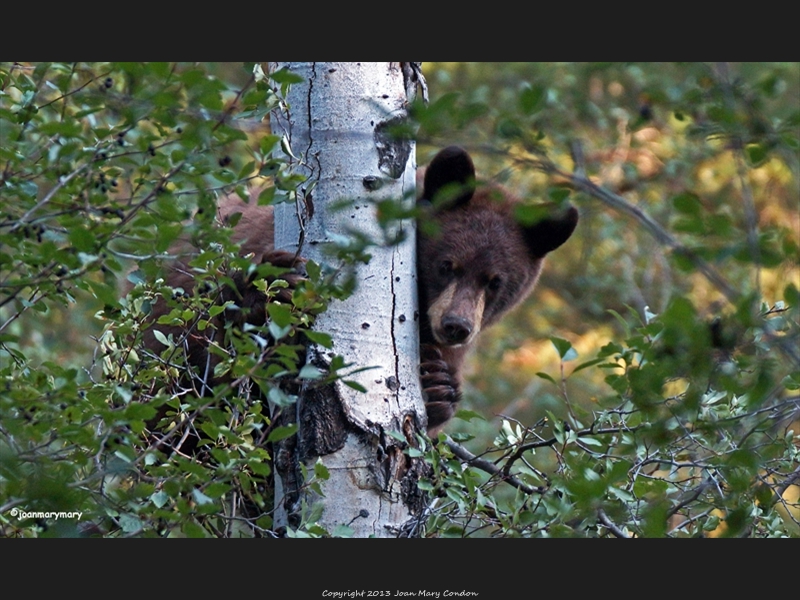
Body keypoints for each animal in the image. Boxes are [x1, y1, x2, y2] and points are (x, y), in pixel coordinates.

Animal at [138, 145, 576, 440]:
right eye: (446, 264)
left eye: (496, 281)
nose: (456, 325)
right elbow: (213, 337)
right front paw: (272, 292)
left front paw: (438, 389)